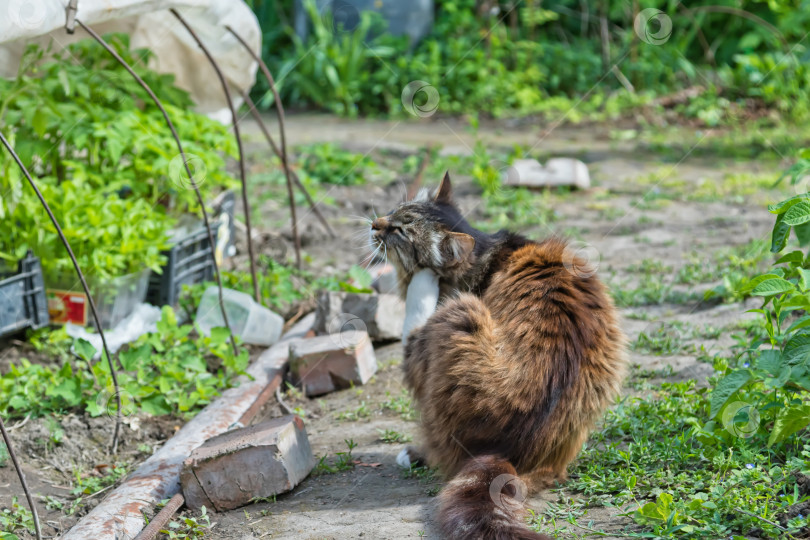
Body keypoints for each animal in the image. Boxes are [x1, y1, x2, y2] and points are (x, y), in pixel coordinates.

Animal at [370, 174, 628, 540]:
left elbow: (416, 308)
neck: (483, 254)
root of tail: (508, 454)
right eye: (394, 210)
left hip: (462, 314)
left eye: (401, 231)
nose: (375, 223)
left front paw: (424, 280)